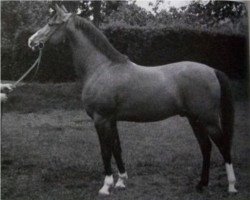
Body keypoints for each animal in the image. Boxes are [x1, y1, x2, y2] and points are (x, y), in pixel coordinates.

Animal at [28, 4, 237, 195]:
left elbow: (105, 151)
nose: (31, 41)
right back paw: (201, 184)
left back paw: (231, 186)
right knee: (206, 147)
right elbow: (116, 148)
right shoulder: (111, 120)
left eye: (50, 23)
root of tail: (212, 70)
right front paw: (121, 181)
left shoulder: (101, 119)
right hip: (195, 119)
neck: (102, 68)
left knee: (223, 146)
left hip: (209, 120)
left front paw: (106, 186)